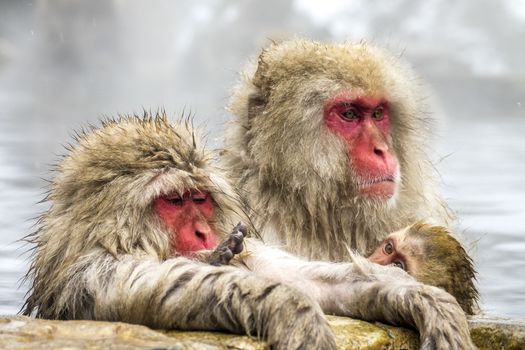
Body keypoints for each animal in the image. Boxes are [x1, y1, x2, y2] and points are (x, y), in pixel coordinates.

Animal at [23, 113, 474, 348]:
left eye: (199, 200)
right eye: (174, 201)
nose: (203, 234)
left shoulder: (249, 246)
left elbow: (314, 283)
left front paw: (432, 303)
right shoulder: (94, 271)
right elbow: (168, 287)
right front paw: (298, 317)